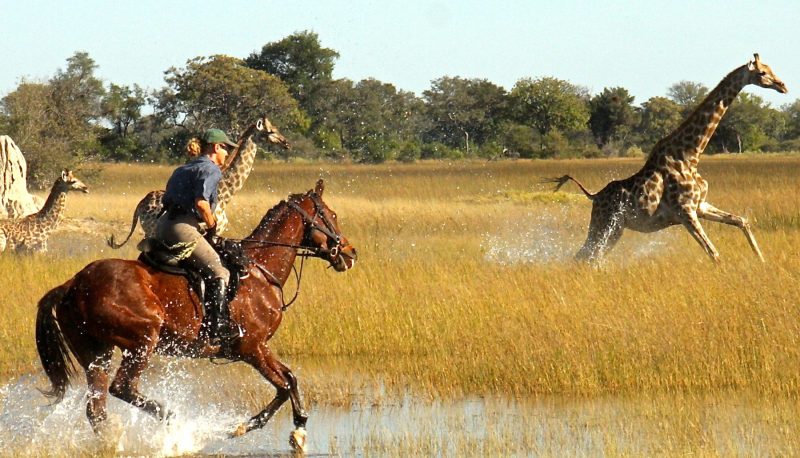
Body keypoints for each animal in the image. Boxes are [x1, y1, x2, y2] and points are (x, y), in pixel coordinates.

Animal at [36, 179, 356, 450]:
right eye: (331, 215)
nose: (350, 253)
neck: (259, 271)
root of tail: (72, 284)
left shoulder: (259, 347)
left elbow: (289, 379)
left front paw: (296, 428)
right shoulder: (251, 348)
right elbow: (285, 384)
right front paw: (252, 428)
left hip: (96, 352)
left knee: (96, 407)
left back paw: (115, 442)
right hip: (142, 340)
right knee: (122, 387)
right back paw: (172, 419)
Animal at [107, 116, 290, 249]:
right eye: (271, 130)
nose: (286, 142)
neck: (227, 194)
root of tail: (141, 204)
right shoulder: (213, 230)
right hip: (152, 230)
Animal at [552, 53, 788, 262]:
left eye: (771, 68)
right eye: (762, 72)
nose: (783, 85)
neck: (690, 155)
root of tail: (594, 196)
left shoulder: (700, 206)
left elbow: (741, 221)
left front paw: (762, 260)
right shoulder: (685, 211)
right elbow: (714, 254)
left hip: (615, 229)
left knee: (589, 258)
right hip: (603, 225)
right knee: (584, 257)